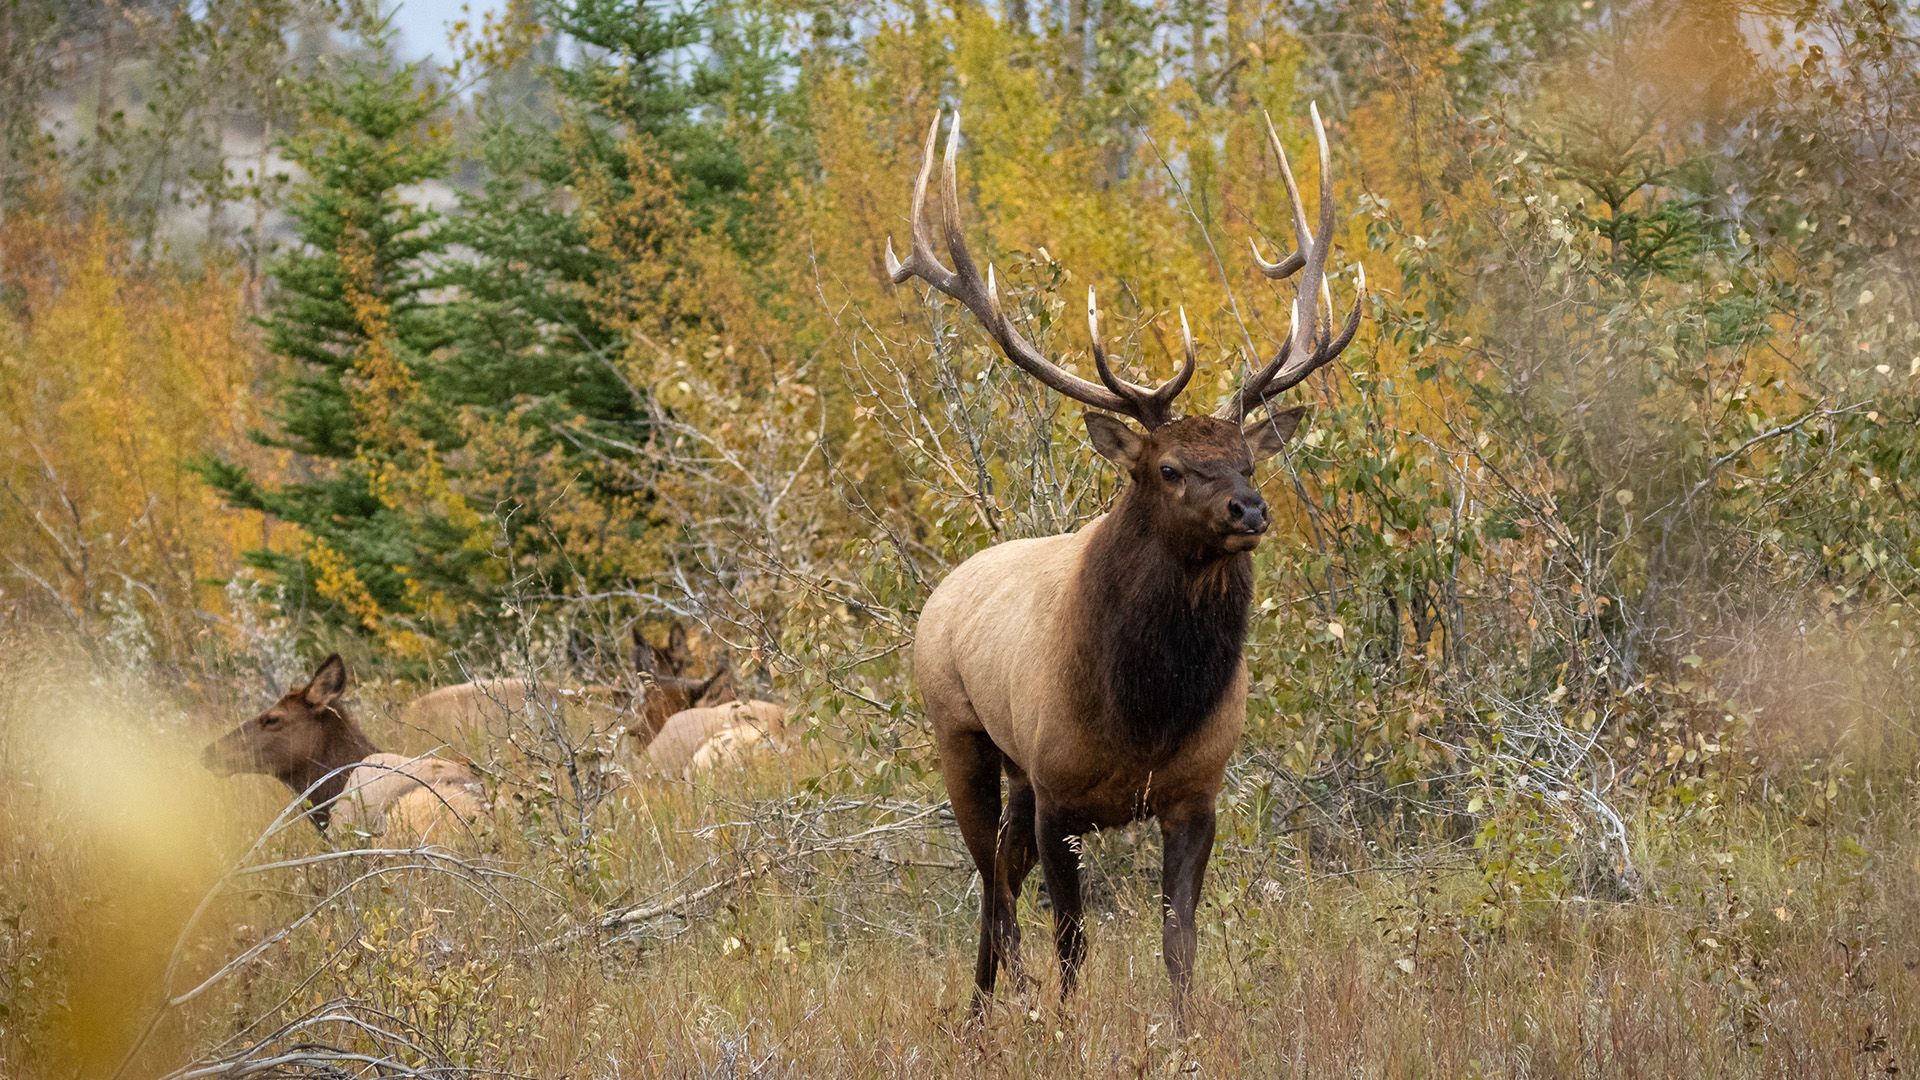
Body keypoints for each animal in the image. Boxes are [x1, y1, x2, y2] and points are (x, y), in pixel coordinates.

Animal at [887, 105, 1367, 1014]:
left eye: (1249, 463)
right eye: (1170, 468)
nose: (1249, 511)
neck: (1144, 713)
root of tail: (943, 589)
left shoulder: (1195, 794)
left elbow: (1180, 943)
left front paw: (1184, 1030)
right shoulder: (1059, 796)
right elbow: (1073, 944)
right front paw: (1069, 1024)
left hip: (1015, 775)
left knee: (997, 882)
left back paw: (980, 1016)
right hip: (961, 734)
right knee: (992, 887)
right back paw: (997, 1005)